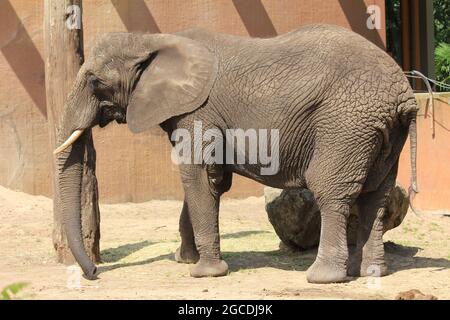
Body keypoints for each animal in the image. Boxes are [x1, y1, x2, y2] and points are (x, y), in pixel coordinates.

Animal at [53, 25, 418, 284]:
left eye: (95, 81)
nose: (94, 273)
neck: (151, 39)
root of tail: (404, 95)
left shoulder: (197, 112)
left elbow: (195, 174)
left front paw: (203, 273)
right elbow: (212, 181)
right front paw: (186, 260)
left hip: (346, 125)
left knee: (332, 192)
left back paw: (323, 277)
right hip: (380, 132)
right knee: (376, 195)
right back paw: (370, 273)